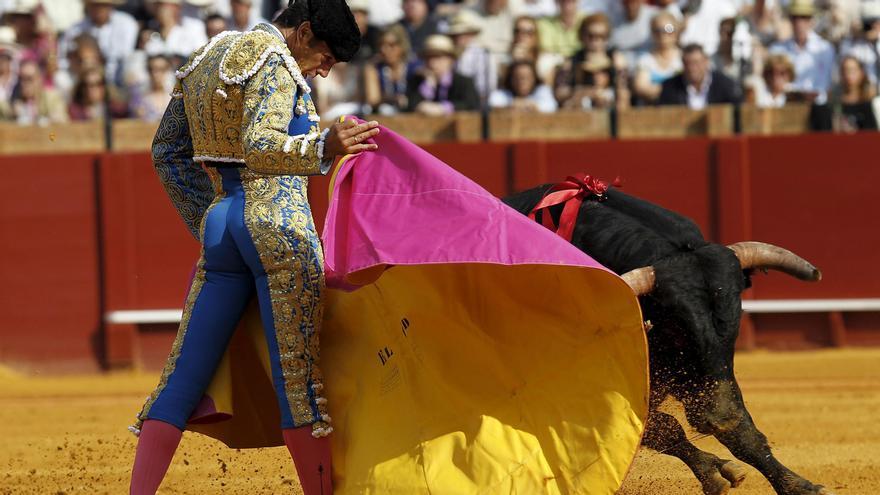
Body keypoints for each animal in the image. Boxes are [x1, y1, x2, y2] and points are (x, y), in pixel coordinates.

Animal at [502, 184, 832, 494]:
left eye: (735, 317)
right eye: (675, 325)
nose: (718, 416)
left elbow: (741, 430)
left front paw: (799, 486)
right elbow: (663, 428)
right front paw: (714, 474)